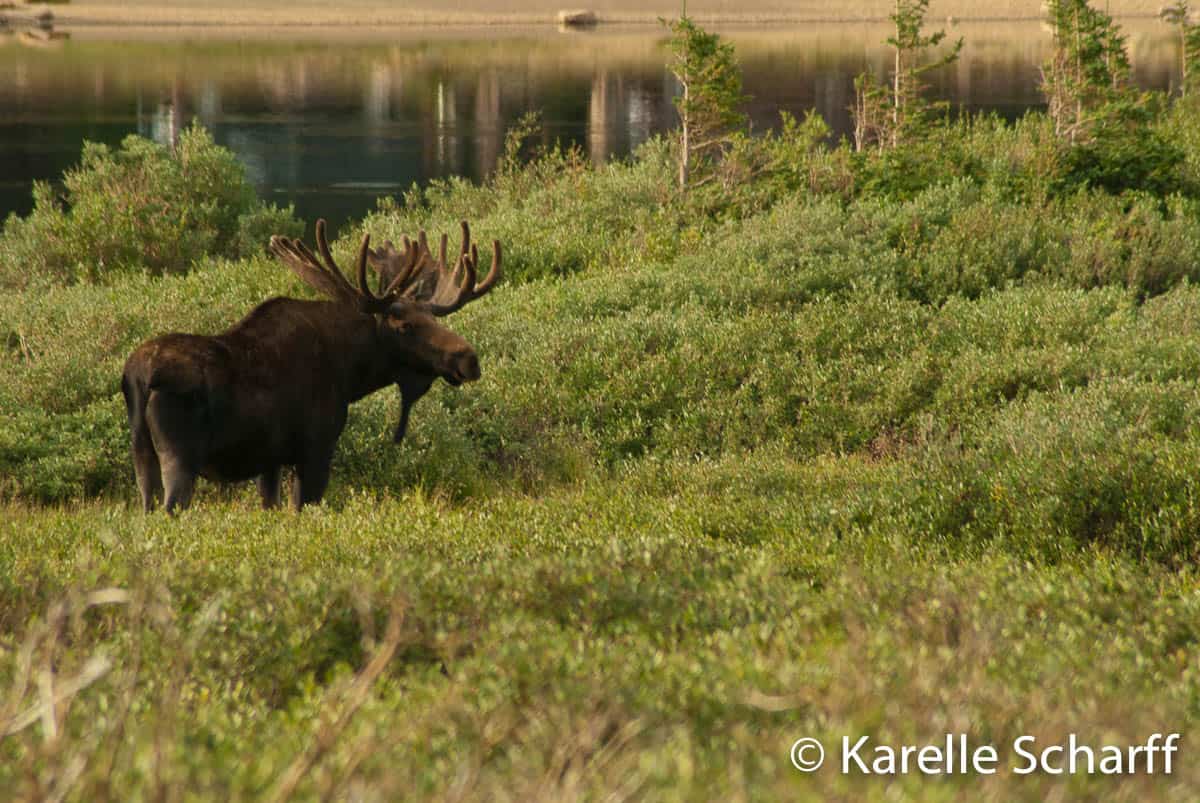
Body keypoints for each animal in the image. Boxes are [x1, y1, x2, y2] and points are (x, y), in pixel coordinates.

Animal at [120, 219, 500, 512]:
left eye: (432, 317)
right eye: (405, 326)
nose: (469, 359)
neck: (352, 374)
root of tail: (138, 377)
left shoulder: (271, 459)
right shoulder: (317, 447)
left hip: (141, 453)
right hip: (181, 455)